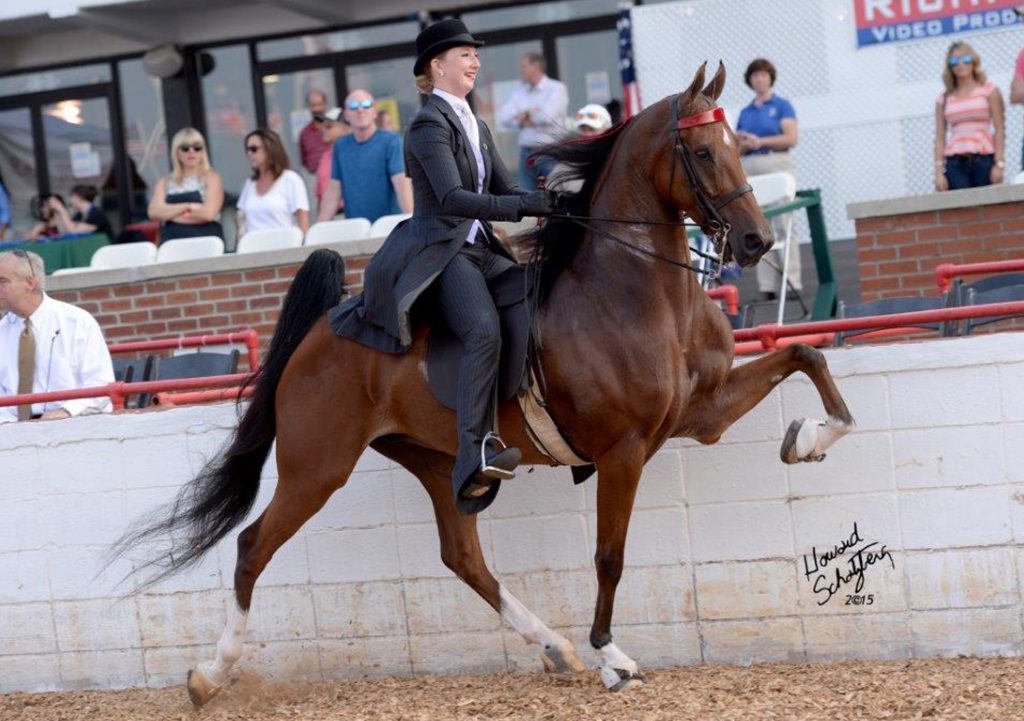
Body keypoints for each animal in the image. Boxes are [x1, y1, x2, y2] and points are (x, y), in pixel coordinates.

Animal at [117, 61, 856, 704]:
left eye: (738, 146)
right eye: (702, 152)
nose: (758, 242)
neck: (642, 293)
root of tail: (317, 334)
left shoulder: (701, 413)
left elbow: (806, 356)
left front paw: (811, 437)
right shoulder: (622, 450)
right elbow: (609, 555)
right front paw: (612, 656)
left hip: (434, 456)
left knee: (462, 556)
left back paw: (553, 646)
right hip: (317, 466)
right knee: (252, 547)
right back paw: (210, 675)